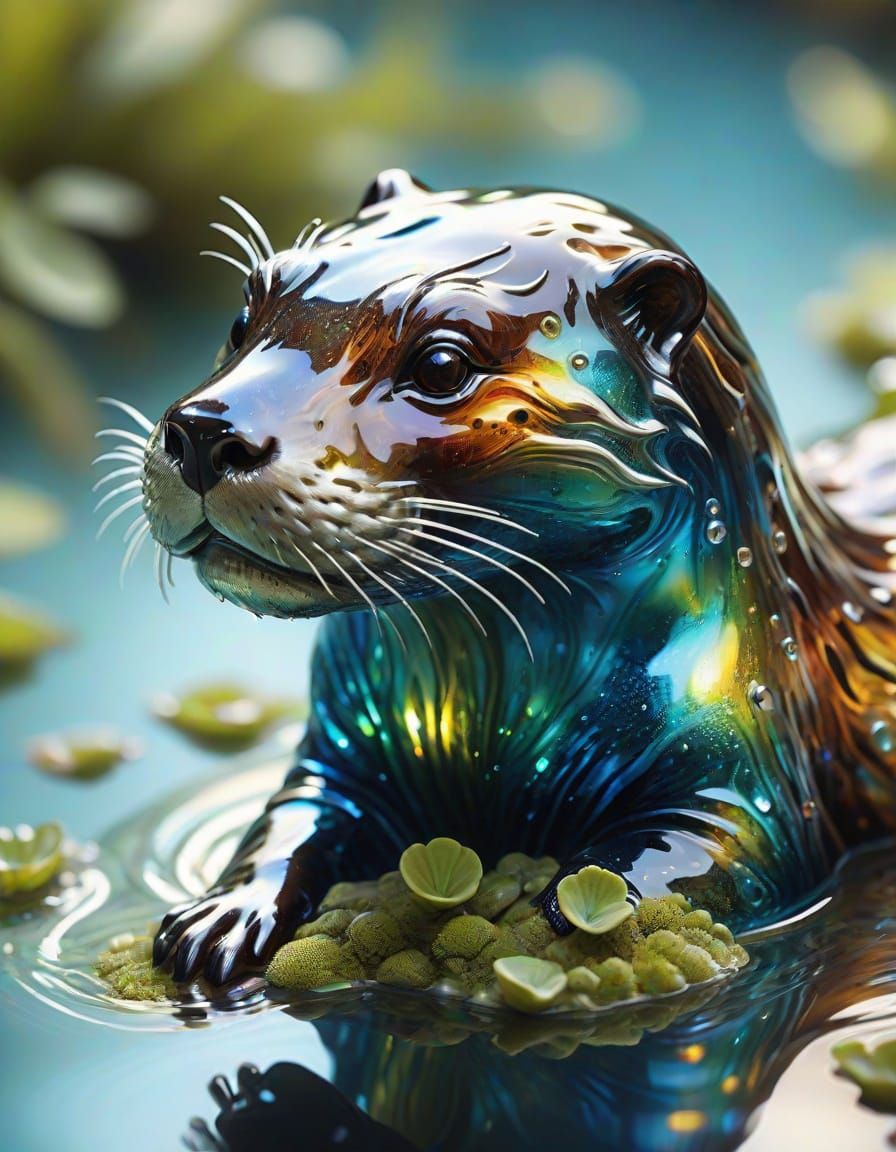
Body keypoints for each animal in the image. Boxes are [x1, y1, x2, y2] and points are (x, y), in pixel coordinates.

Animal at [114, 170, 896, 986]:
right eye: (243, 319)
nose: (206, 431)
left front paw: (553, 922)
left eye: (440, 365)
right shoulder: (341, 753)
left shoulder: (751, 767)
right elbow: (285, 821)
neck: (491, 732)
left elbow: (695, 861)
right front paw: (221, 915)